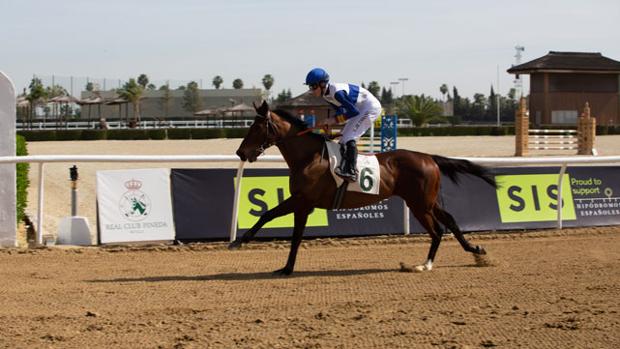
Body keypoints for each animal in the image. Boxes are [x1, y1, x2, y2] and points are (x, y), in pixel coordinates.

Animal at [230, 100, 496, 274]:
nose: (240, 152)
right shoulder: (302, 203)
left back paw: (425, 264)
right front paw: (278, 263)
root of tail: (429, 157)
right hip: (426, 201)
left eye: (256, 127)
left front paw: (244, 245)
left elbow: (278, 223)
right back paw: (475, 251)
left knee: (438, 230)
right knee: (449, 221)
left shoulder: (302, 201)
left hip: (420, 203)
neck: (309, 157)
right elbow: (281, 224)